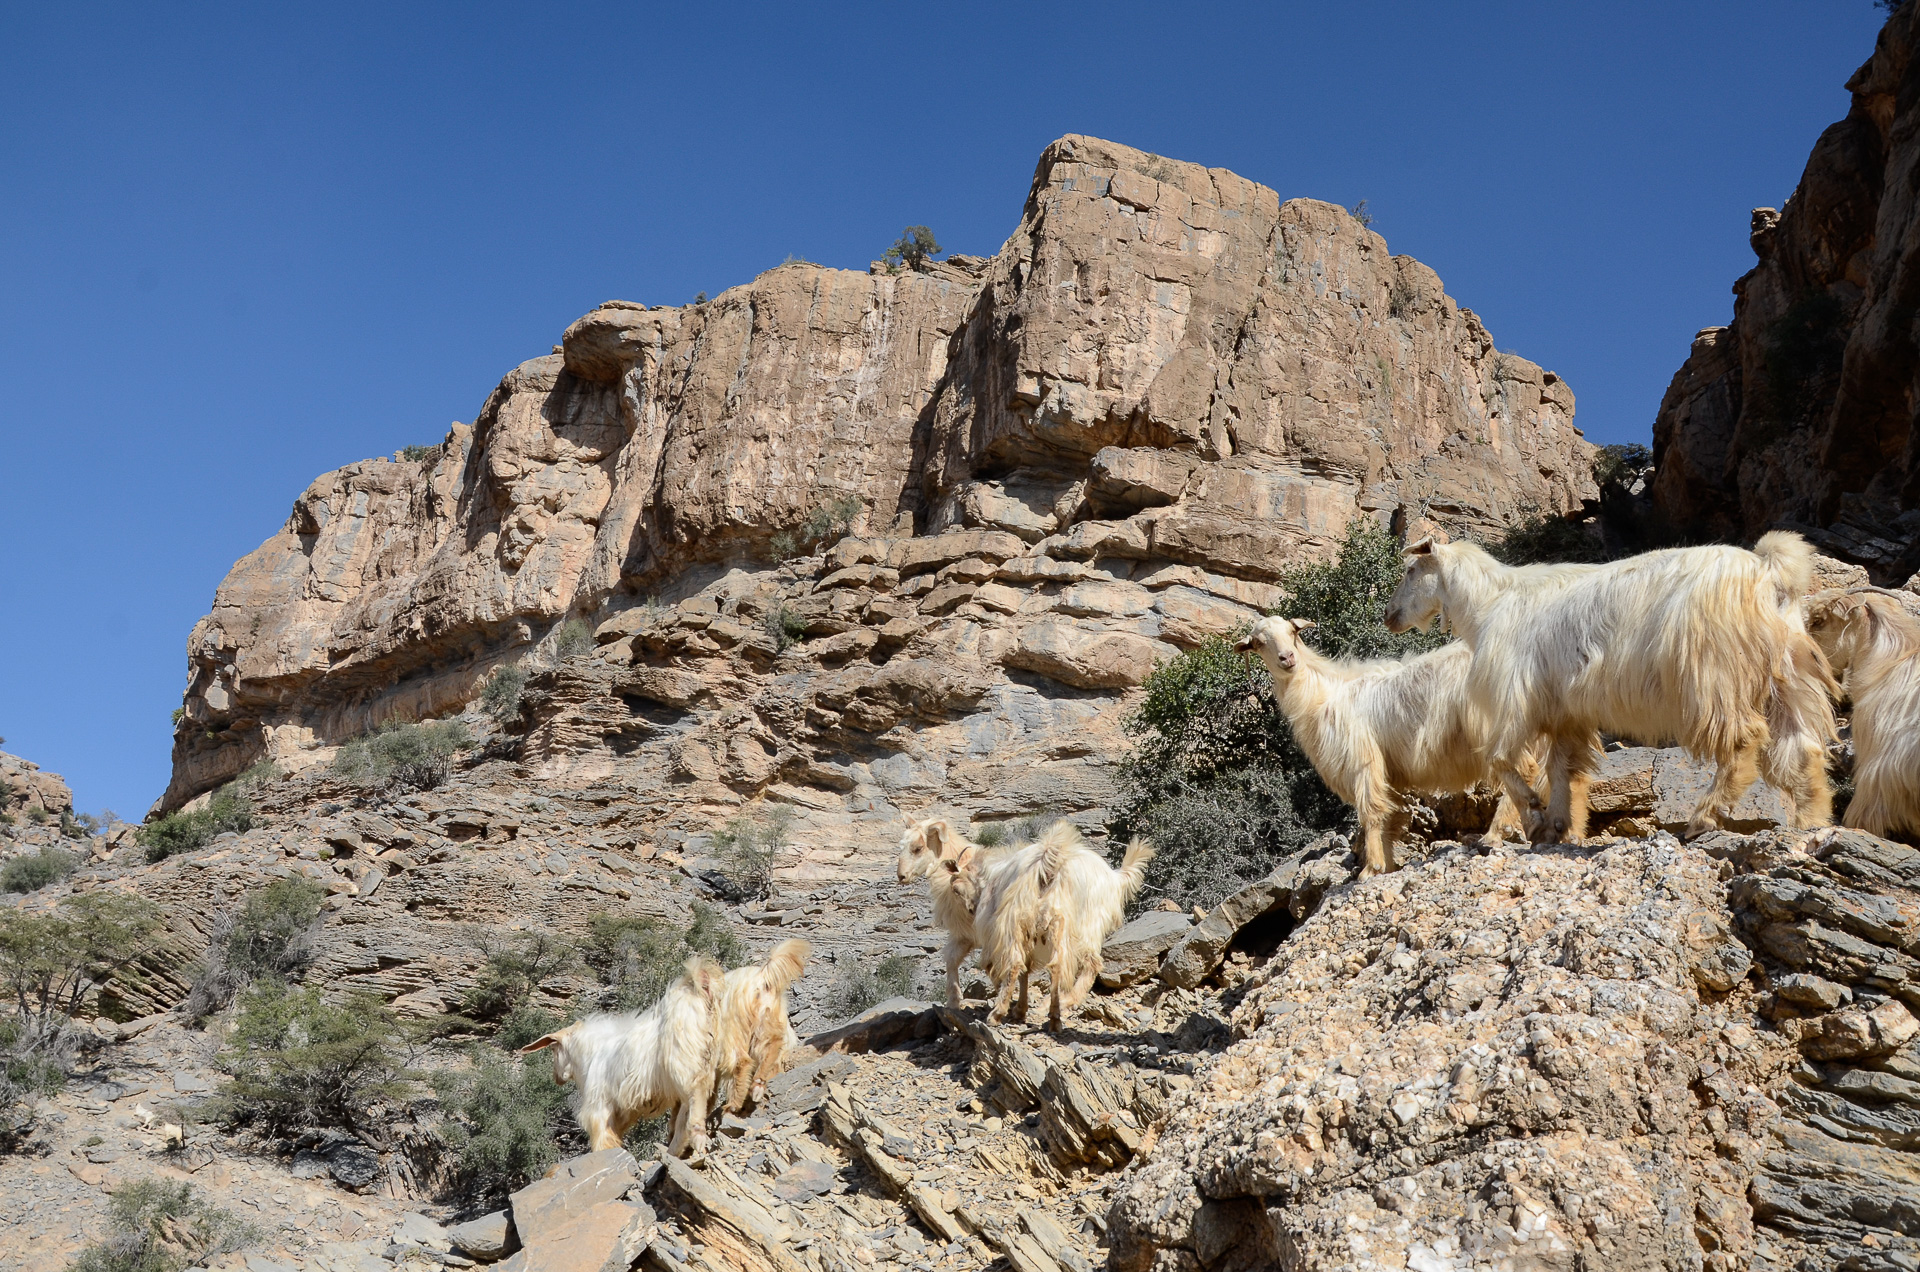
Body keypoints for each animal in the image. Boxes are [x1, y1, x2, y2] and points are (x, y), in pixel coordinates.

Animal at [522, 960, 721, 1160]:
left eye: (553, 1048)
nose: (556, 1078)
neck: (592, 1051)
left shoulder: (600, 1106)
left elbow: (602, 1140)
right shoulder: (623, 1112)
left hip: (685, 1068)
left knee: (693, 1104)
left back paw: (693, 1141)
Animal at [967, 826, 1144, 1037]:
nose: (970, 908)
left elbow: (1004, 968)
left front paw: (1014, 1008)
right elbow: (1026, 971)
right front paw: (1020, 1010)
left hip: (1017, 921)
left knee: (1016, 963)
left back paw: (998, 1014)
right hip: (1070, 922)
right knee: (1061, 966)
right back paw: (1056, 1016)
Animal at [1228, 622, 1543, 883]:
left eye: (1292, 631)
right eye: (1258, 642)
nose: (1288, 658)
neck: (1323, 695)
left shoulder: (1363, 761)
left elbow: (1371, 814)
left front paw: (1371, 868)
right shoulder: (1390, 774)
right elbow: (1392, 816)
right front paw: (1388, 866)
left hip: (1493, 725)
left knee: (1522, 768)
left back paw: (1495, 833)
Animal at [1390, 530, 1835, 841]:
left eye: (1411, 571)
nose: (1388, 616)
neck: (1489, 604)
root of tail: (1768, 570)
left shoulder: (1516, 696)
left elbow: (1502, 760)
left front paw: (1533, 818)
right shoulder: (1564, 711)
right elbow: (1563, 770)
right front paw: (1556, 826)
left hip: (1714, 674)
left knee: (1744, 740)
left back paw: (1706, 815)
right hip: (1788, 677)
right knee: (1802, 750)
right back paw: (1810, 823)